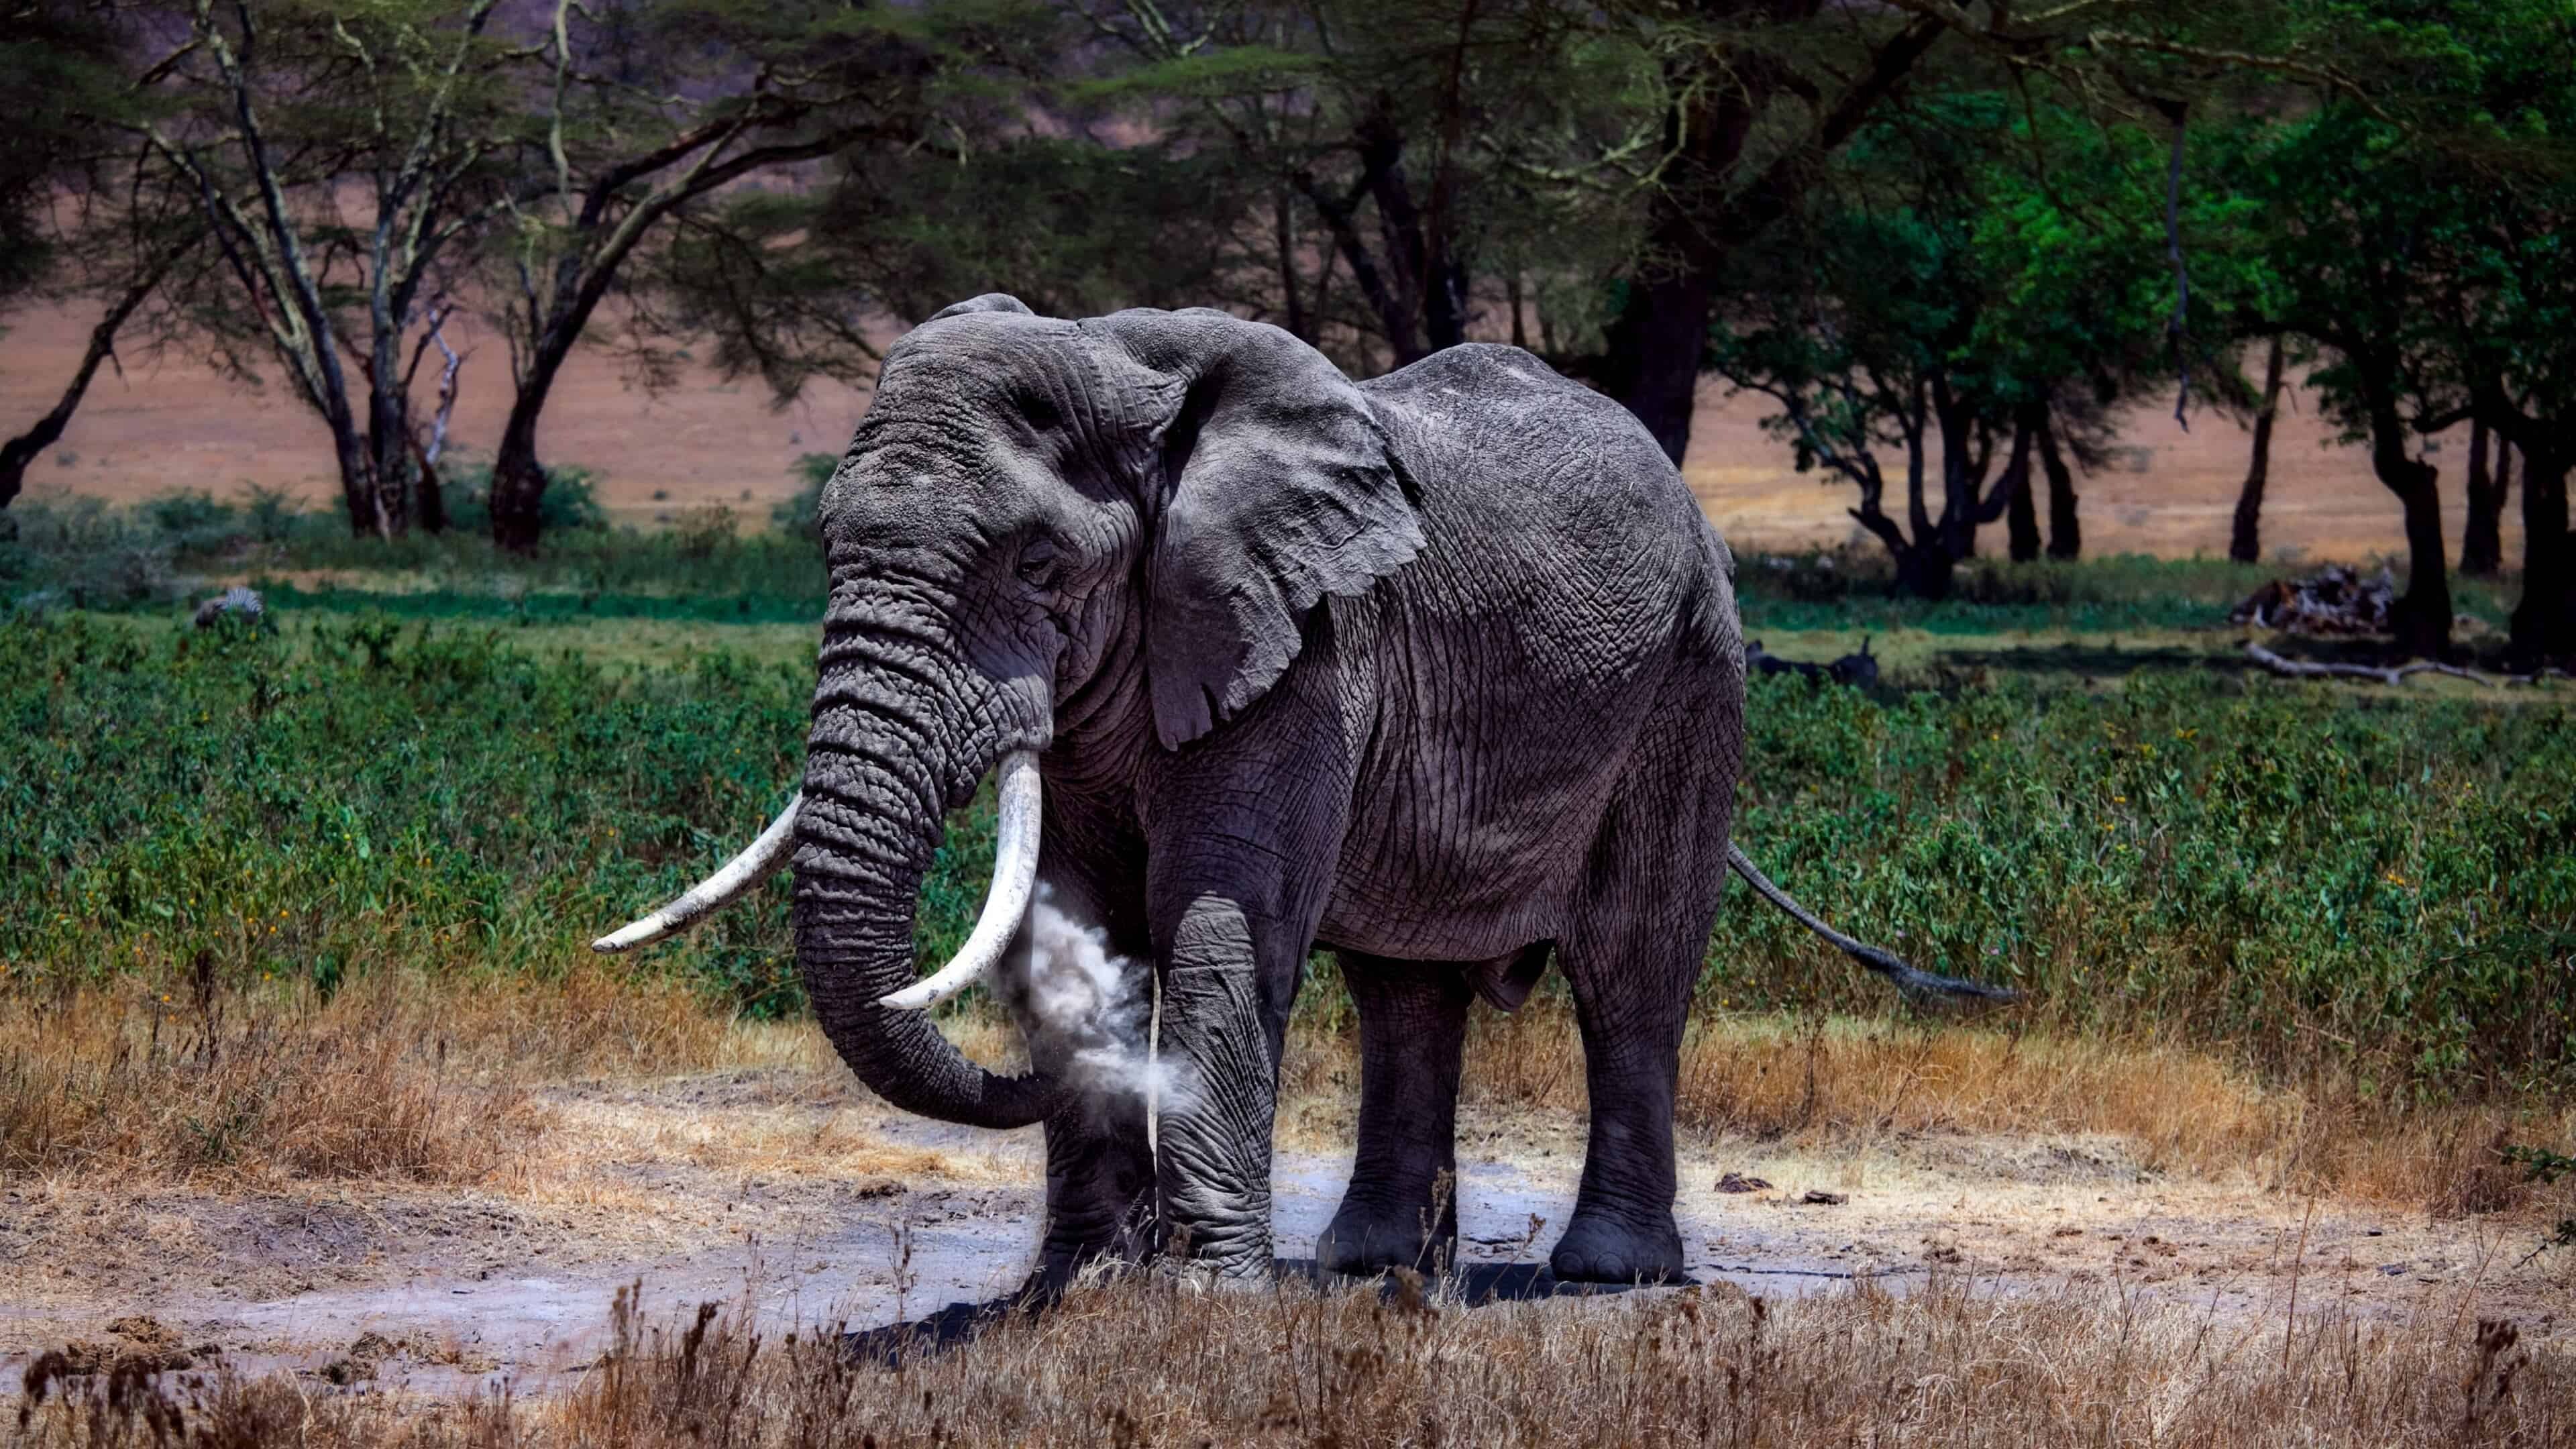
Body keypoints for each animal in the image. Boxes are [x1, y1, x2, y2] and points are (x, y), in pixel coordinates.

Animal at [602, 296, 2009, 1284]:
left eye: (1042, 566)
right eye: (827, 545)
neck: (1126, 369)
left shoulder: (1311, 645)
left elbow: (1220, 927)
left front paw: (1204, 1294)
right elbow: (1082, 914)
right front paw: (1080, 1283)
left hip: (1693, 676)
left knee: (1630, 970)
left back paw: (1607, 1274)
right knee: (1404, 991)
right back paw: (1374, 1266)